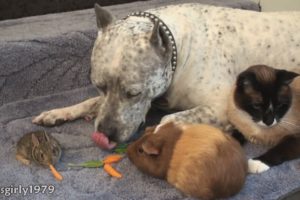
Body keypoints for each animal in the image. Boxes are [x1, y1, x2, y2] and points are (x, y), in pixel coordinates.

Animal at [32, 2, 300, 172]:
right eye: (98, 85)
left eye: (134, 93)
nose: (106, 134)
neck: (178, 49)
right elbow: (91, 102)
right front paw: (59, 113)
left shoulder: (221, 108)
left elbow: (168, 119)